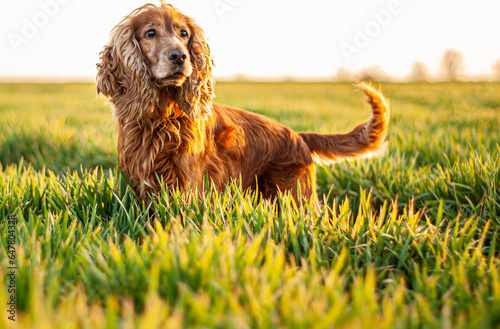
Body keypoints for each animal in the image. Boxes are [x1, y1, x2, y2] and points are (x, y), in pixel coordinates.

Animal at [94, 1, 390, 202]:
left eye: (183, 33)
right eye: (150, 33)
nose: (179, 56)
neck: (162, 117)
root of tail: (298, 135)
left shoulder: (186, 184)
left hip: (293, 196)